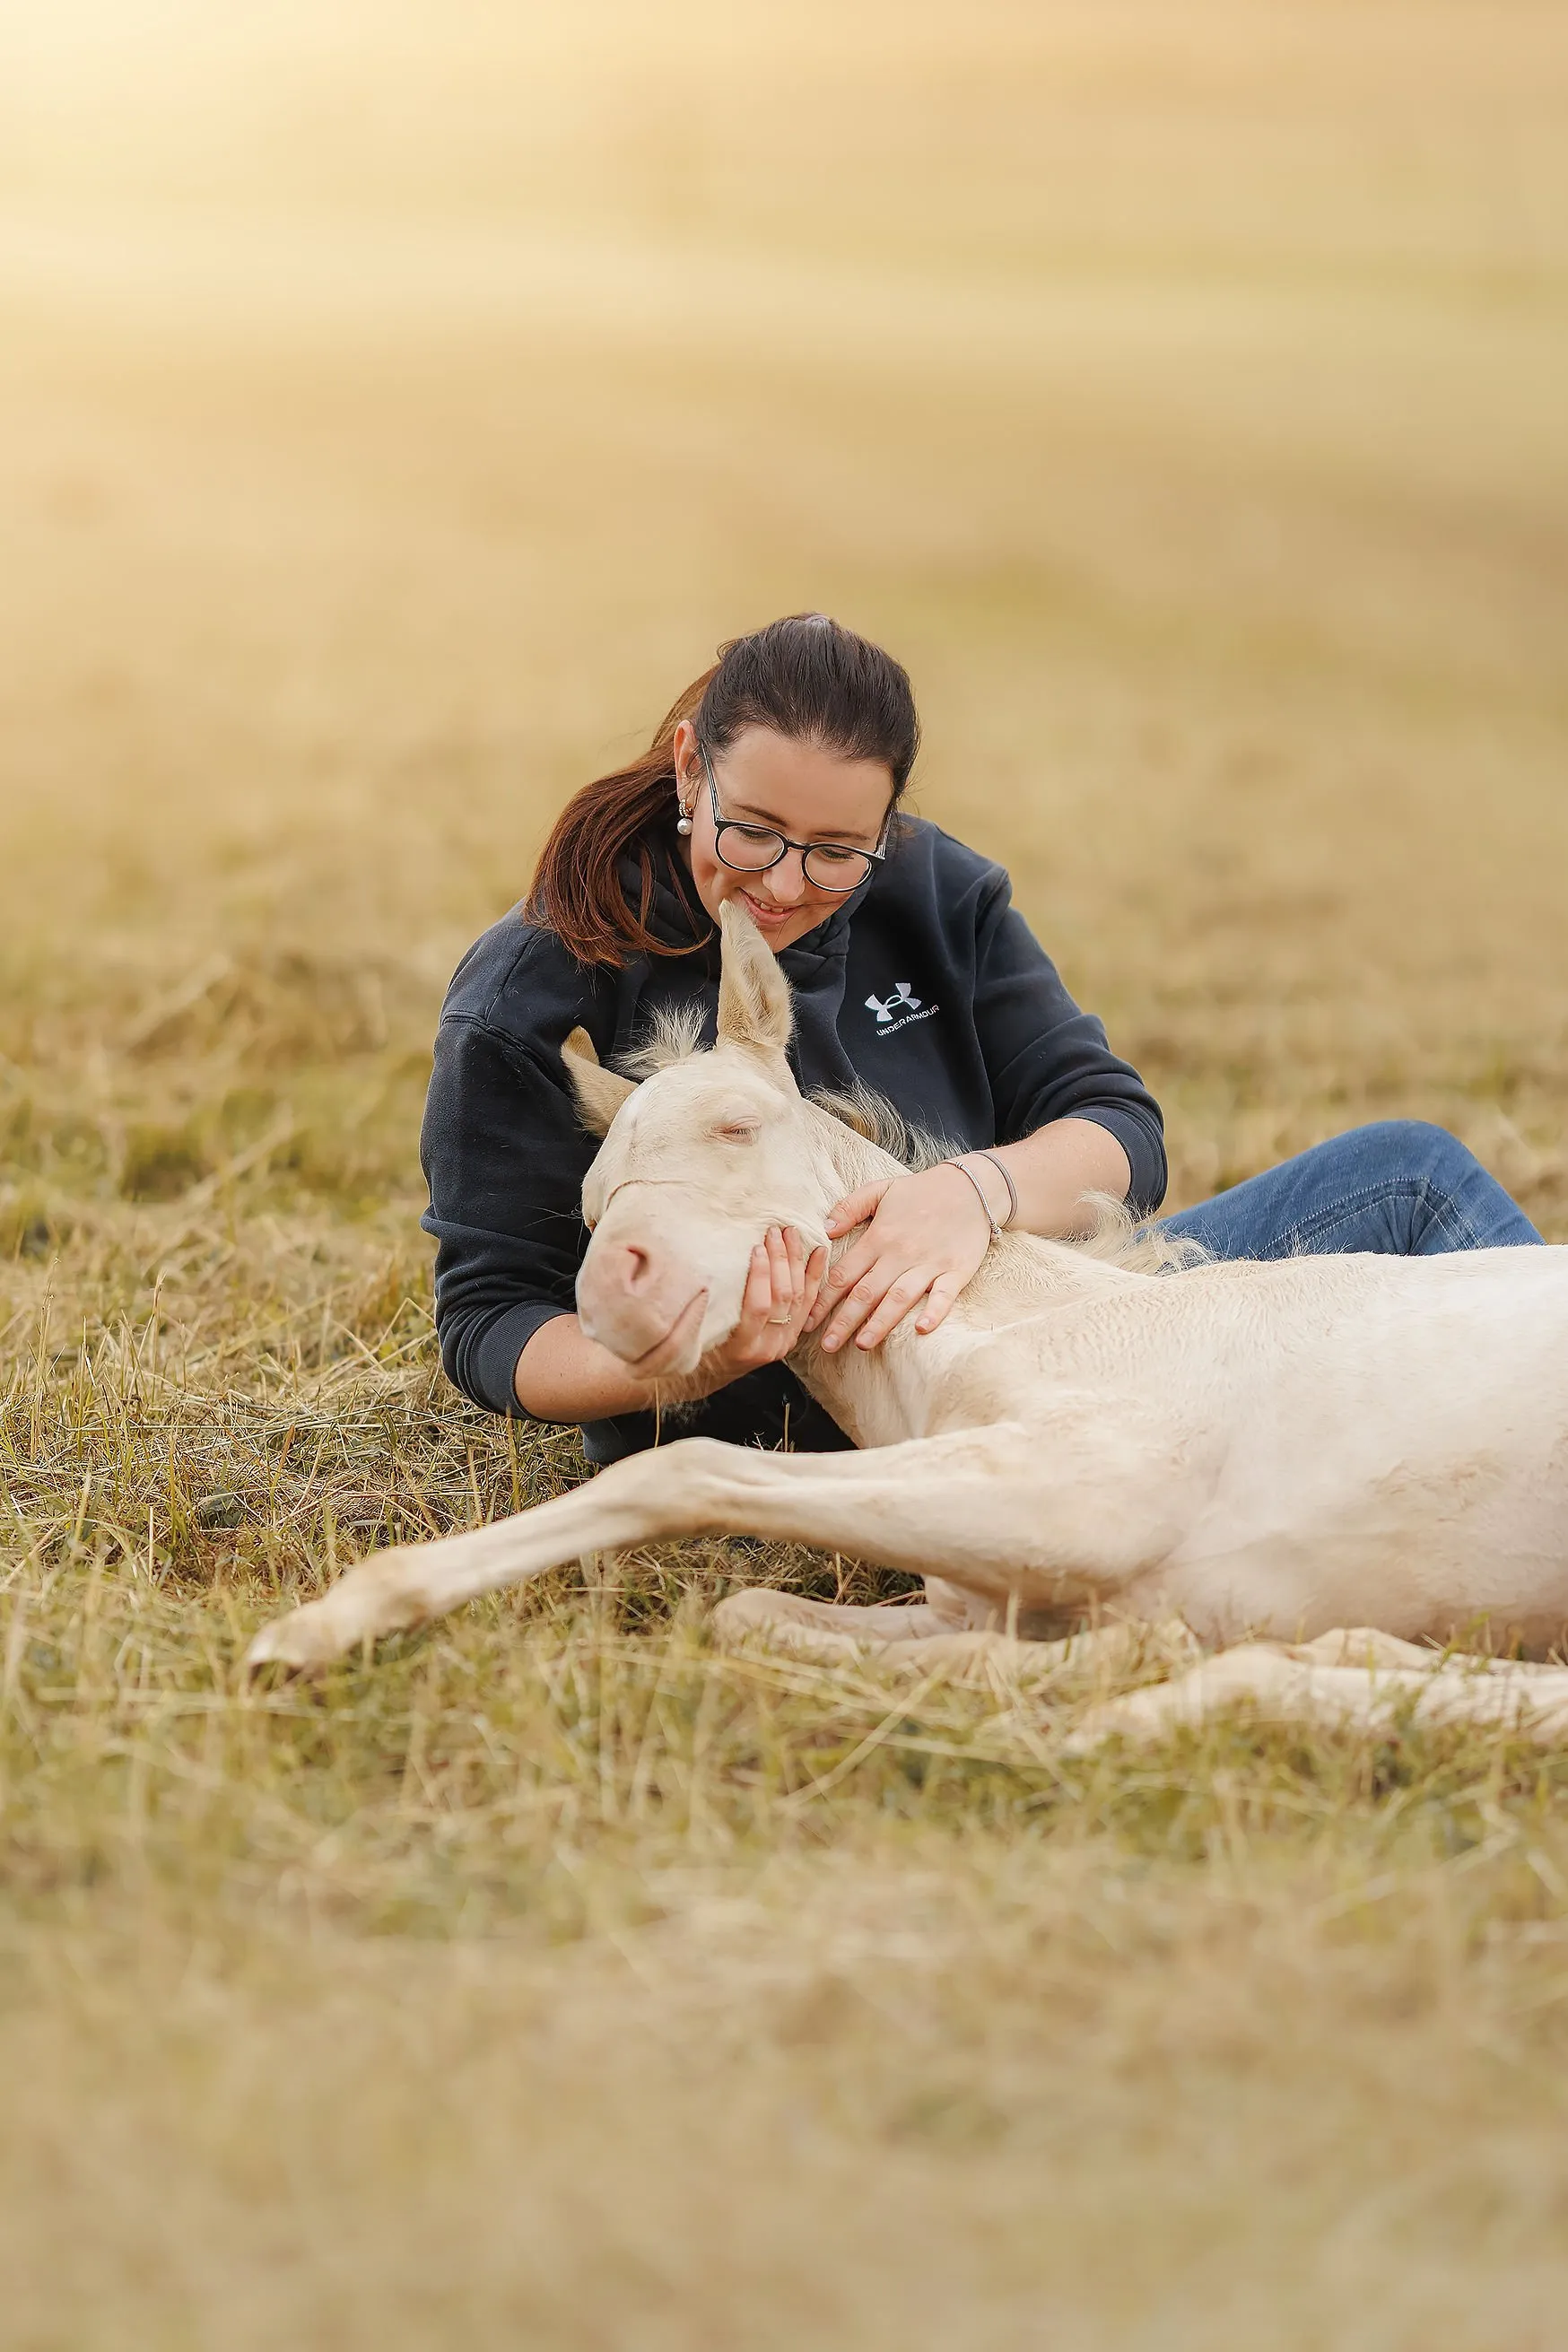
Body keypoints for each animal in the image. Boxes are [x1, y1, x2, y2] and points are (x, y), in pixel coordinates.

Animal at [246, 902, 1568, 1745]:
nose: (619, 1292)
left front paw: (324, 1625)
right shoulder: (973, 1577)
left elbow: (680, 1472)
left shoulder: (1081, 1491)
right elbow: (750, 1613)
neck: (1014, 1334)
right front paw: (1122, 1659)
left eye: (734, 1125)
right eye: (584, 1202)